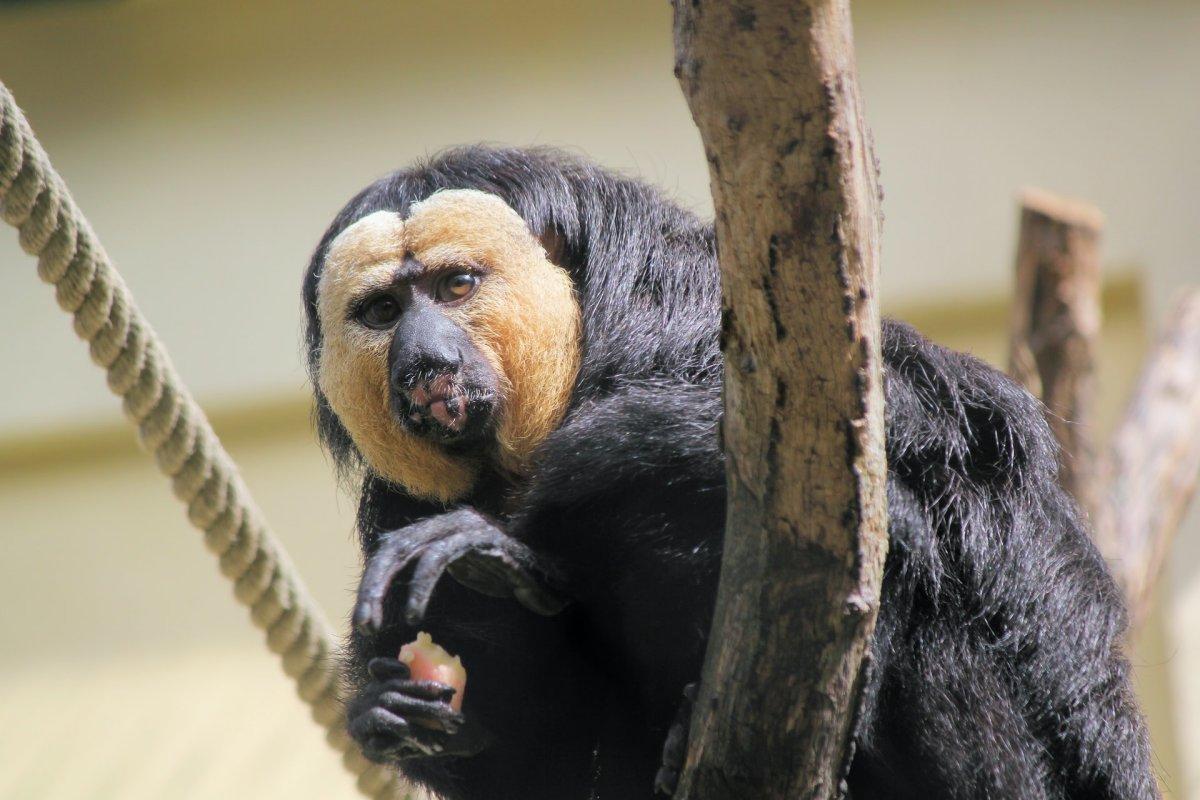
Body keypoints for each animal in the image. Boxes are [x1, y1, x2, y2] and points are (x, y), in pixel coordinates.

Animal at [304, 146, 1156, 796]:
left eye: (456, 286)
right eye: (382, 313)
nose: (425, 360)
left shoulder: (682, 316)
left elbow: (909, 484)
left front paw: (502, 553)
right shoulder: (396, 503)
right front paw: (400, 707)